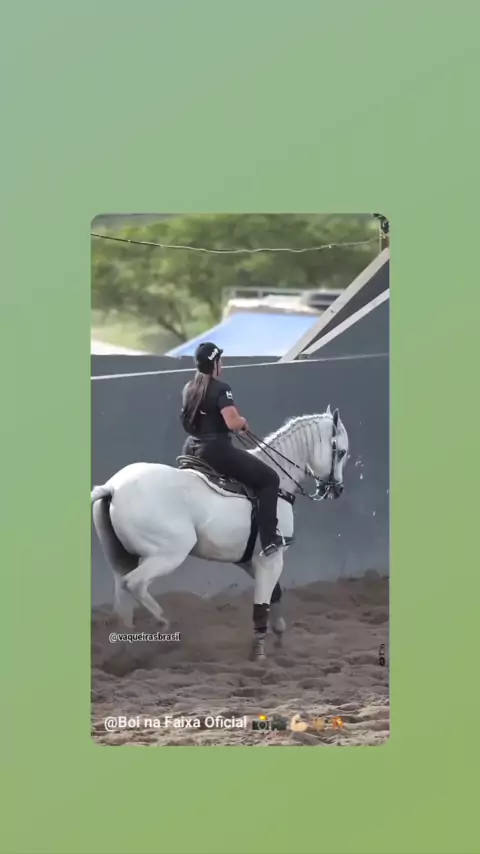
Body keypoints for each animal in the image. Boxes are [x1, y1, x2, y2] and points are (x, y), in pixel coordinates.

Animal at [91, 406, 349, 659]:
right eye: (341, 452)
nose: (337, 489)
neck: (279, 483)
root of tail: (113, 487)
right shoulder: (271, 557)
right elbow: (262, 602)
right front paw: (258, 651)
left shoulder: (250, 561)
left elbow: (274, 594)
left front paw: (278, 634)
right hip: (167, 555)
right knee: (134, 584)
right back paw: (163, 624)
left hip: (123, 560)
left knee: (122, 601)